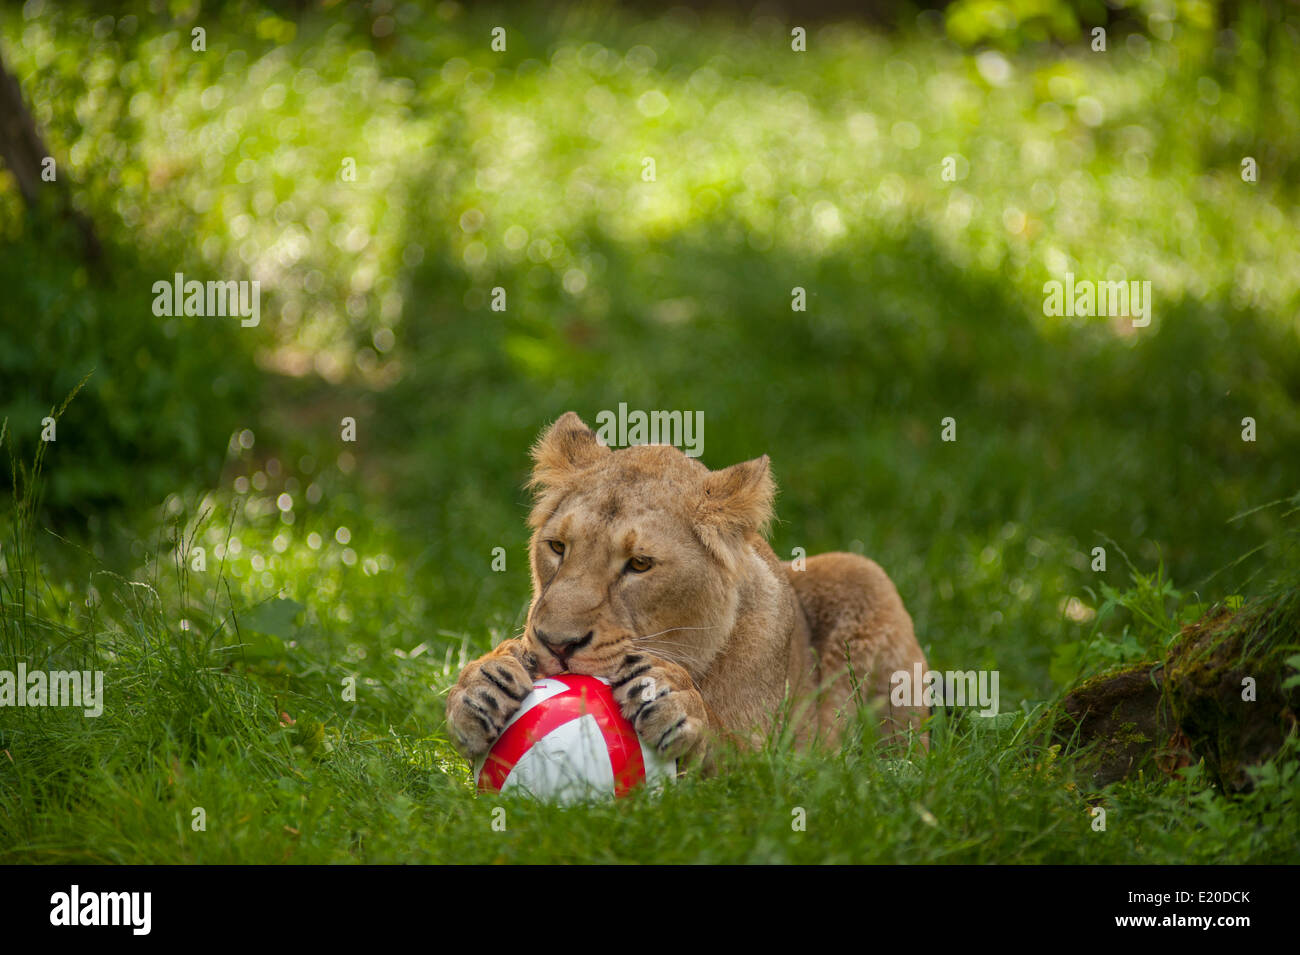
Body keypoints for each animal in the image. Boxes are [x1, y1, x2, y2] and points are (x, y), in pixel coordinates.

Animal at [444, 413, 925, 769]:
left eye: (640, 564)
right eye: (558, 547)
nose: (557, 645)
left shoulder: (783, 759)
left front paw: (677, 703)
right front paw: (480, 686)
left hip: (862, 573)